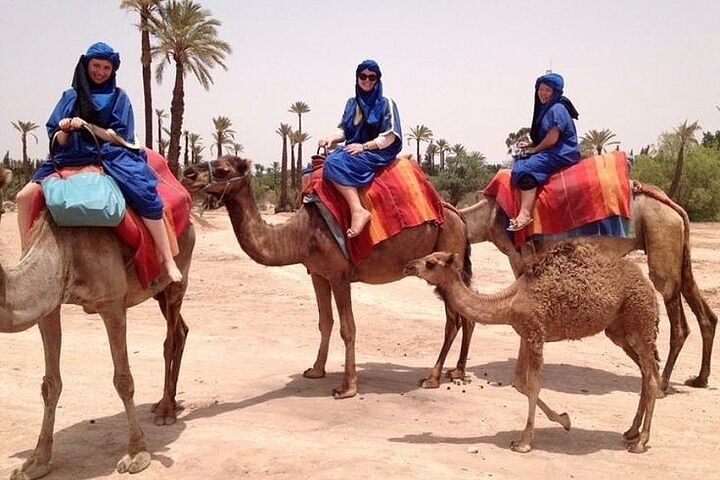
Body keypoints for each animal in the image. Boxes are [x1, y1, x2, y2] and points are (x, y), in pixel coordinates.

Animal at [1, 215, 195, 480]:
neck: (61, 249)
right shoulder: (49, 307)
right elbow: (50, 385)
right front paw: (35, 463)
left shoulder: (112, 304)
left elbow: (123, 381)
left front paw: (137, 454)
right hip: (159, 293)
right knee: (180, 331)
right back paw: (169, 404)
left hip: (178, 276)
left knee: (171, 338)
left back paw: (166, 410)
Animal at [180, 157, 472, 398]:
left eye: (222, 169)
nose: (188, 173)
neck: (300, 235)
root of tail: (456, 214)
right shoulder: (318, 274)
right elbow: (325, 322)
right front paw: (316, 370)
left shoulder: (339, 274)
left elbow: (347, 327)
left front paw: (347, 387)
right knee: (464, 315)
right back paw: (457, 371)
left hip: (444, 259)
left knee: (453, 321)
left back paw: (432, 377)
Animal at [402, 242, 660, 456]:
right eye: (427, 256)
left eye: (431, 263)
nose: (408, 265)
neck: (508, 302)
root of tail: (647, 284)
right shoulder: (525, 335)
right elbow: (518, 382)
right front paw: (564, 420)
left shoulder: (536, 333)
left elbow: (534, 384)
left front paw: (524, 442)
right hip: (619, 332)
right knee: (645, 373)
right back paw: (631, 432)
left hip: (640, 322)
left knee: (651, 378)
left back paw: (641, 442)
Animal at [458, 186, 716, 392]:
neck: (488, 218)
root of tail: (675, 208)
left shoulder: (521, 257)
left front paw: (519, 379)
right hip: (677, 246)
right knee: (701, 306)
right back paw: (699, 379)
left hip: (661, 233)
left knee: (675, 313)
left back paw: (663, 381)